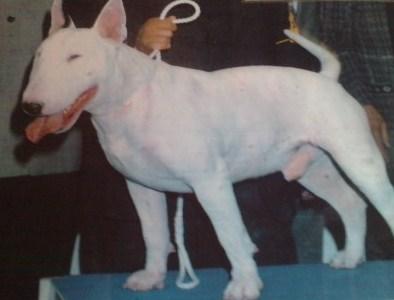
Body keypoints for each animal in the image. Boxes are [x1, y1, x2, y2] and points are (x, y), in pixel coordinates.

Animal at [22, 0, 394, 298]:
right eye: (38, 56)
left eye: (75, 57)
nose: (30, 107)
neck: (131, 98)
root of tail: (327, 79)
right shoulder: (141, 187)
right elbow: (153, 233)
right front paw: (152, 277)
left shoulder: (210, 183)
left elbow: (229, 235)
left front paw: (244, 285)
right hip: (313, 170)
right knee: (351, 204)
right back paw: (350, 257)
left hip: (357, 158)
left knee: (379, 199)